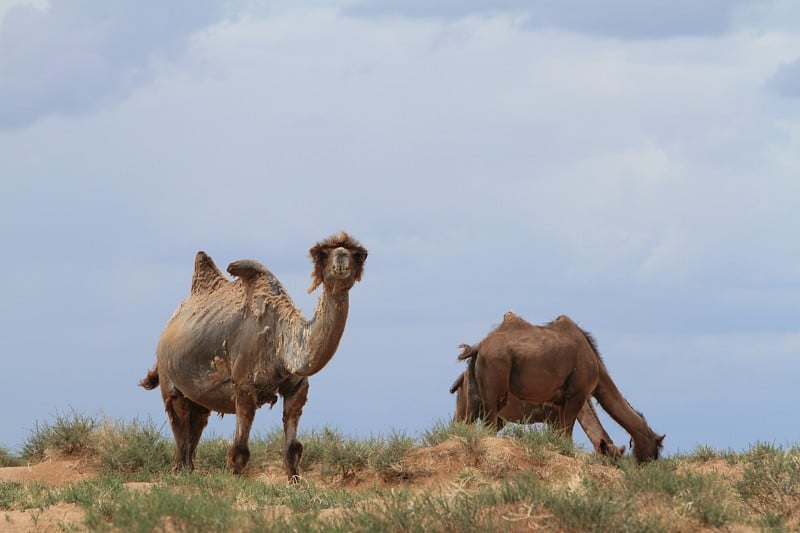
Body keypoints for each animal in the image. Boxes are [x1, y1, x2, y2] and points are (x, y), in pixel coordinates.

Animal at [142, 230, 368, 478]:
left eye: (359, 255)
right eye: (322, 254)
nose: (341, 257)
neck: (281, 339)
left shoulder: (296, 387)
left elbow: (293, 448)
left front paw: (295, 481)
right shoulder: (243, 385)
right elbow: (239, 450)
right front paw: (235, 480)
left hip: (198, 394)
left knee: (197, 421)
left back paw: (190, 471)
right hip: (169, 379)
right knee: (179, 424)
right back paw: (179, 472)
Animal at [462, 312, 664, 462]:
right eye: (655, 449)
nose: (647, 464)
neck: (597, 367)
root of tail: (478, 347)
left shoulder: (559, 402)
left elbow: (561, 431)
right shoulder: (577, 394)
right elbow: (567, 431)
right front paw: (567, 452)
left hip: (475, 386)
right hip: (496, 377)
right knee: (490, 418)